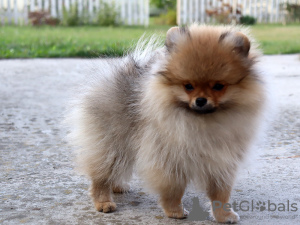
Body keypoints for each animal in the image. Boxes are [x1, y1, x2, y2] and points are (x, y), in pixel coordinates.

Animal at [67, 24, 266, 223]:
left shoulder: (222, 161)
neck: (203, 122)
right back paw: (103, 201)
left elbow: (221, 193)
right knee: (102, 171)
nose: (200, 100)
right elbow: (174, 189)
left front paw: (224, 215)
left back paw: (117, 186)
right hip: (112, 142)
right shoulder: (169, 158)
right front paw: (175, 211)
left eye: (218, 86)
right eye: (188, 86)